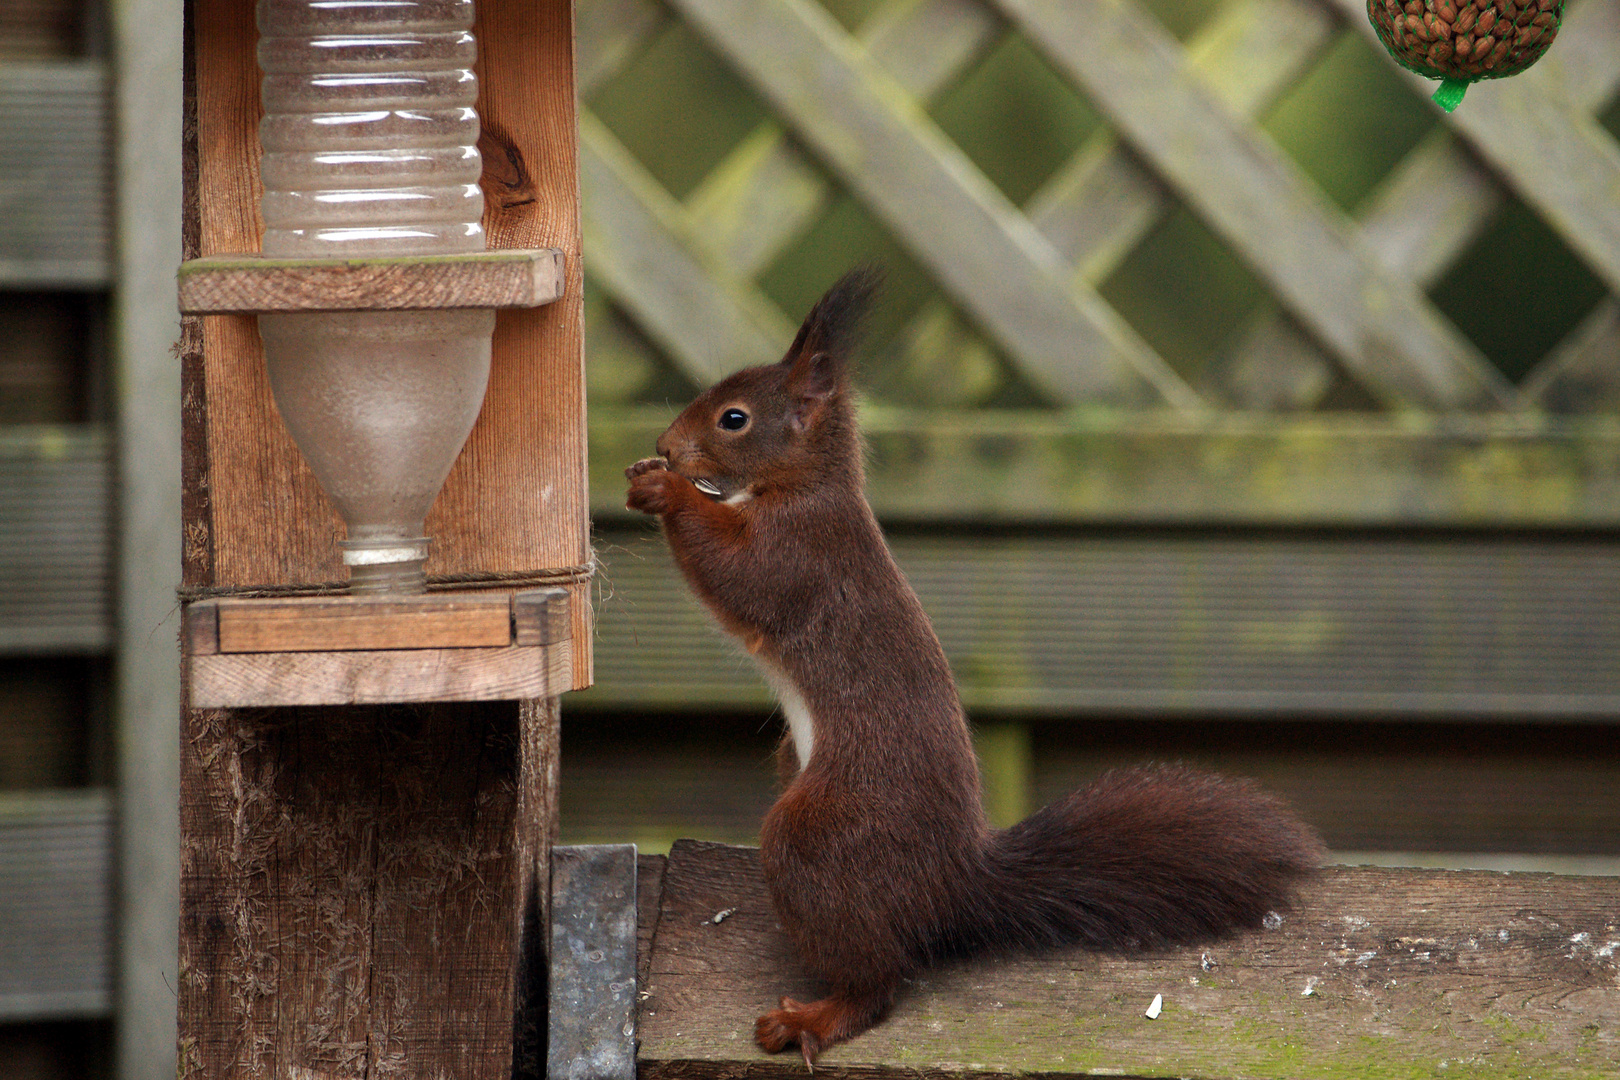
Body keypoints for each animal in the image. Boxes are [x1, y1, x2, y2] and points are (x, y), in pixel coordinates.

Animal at [625, 268, 1321, 1062]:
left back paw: (816, 1016)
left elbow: (737, 574)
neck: (802, 484)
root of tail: (953, 885)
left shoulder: (800, 552)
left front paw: (665, 489)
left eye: (734, 419)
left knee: (879, 980)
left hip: (824, 834)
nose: (665, 445)